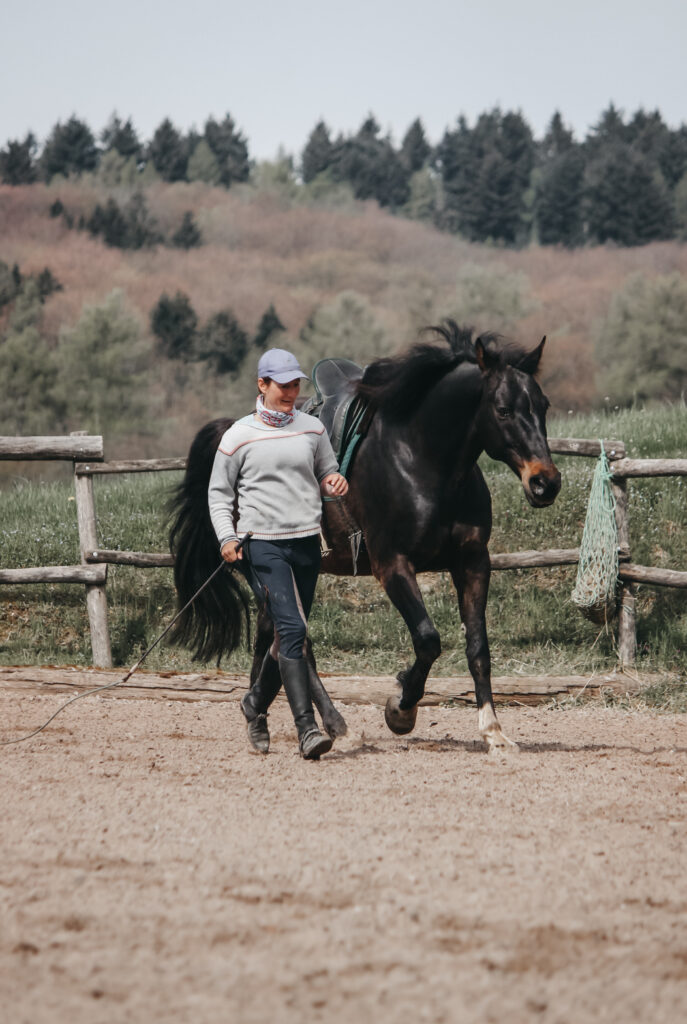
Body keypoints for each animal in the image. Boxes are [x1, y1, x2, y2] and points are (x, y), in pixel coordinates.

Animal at [168, 323, 561, 757]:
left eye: (543, 406)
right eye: (503, 409)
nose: (545, 483)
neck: (424, 462)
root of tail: (228, 435)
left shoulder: (473, 562)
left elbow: (478, 648)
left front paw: (493, 730)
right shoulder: (392, 566)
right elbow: (427, 640)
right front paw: (401, 709)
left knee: (272, 640)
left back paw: (261, 717)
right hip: (262, 571)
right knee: (296, 643)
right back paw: (334, 726)